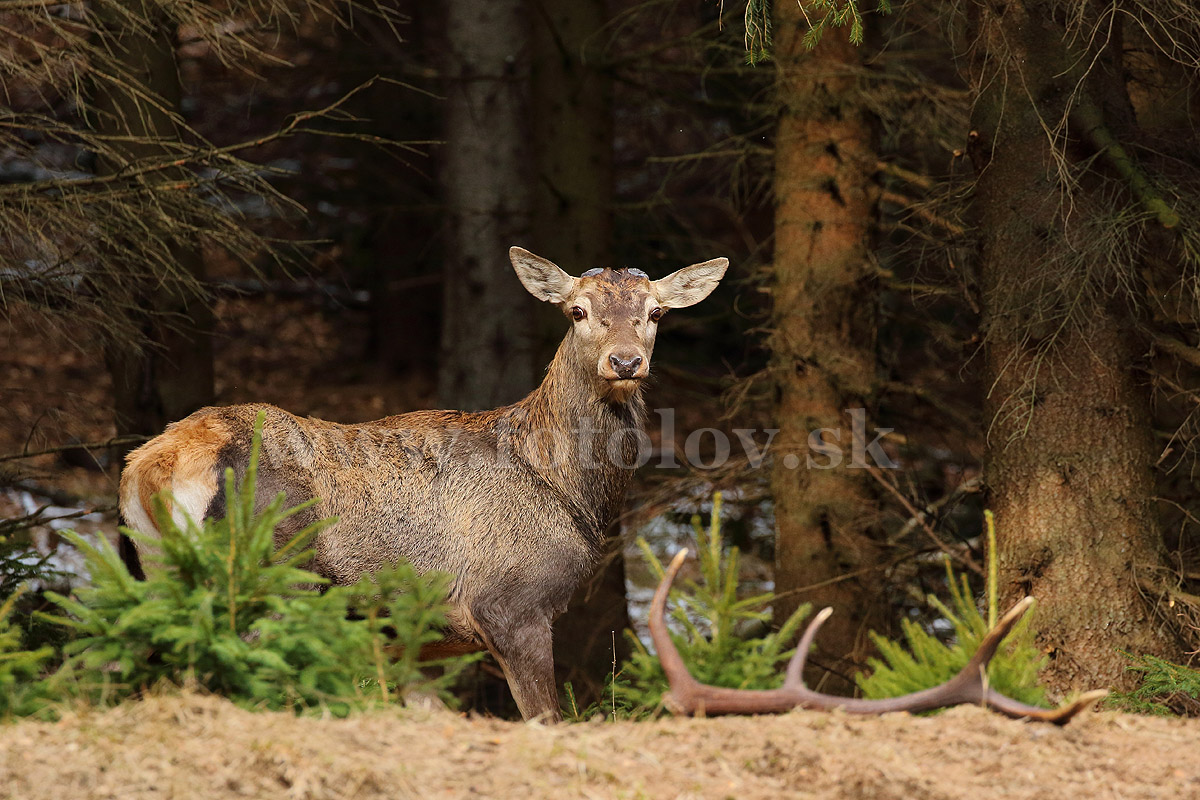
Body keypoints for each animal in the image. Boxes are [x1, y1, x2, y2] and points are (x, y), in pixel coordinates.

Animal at [117, 244, 724, 719]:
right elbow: (546, 718)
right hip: (272, 578)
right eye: (578, 310)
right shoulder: (510, 604)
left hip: (157, 571)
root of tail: (153, 464)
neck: (569, 492)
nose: (624, 361)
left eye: (655, 312)